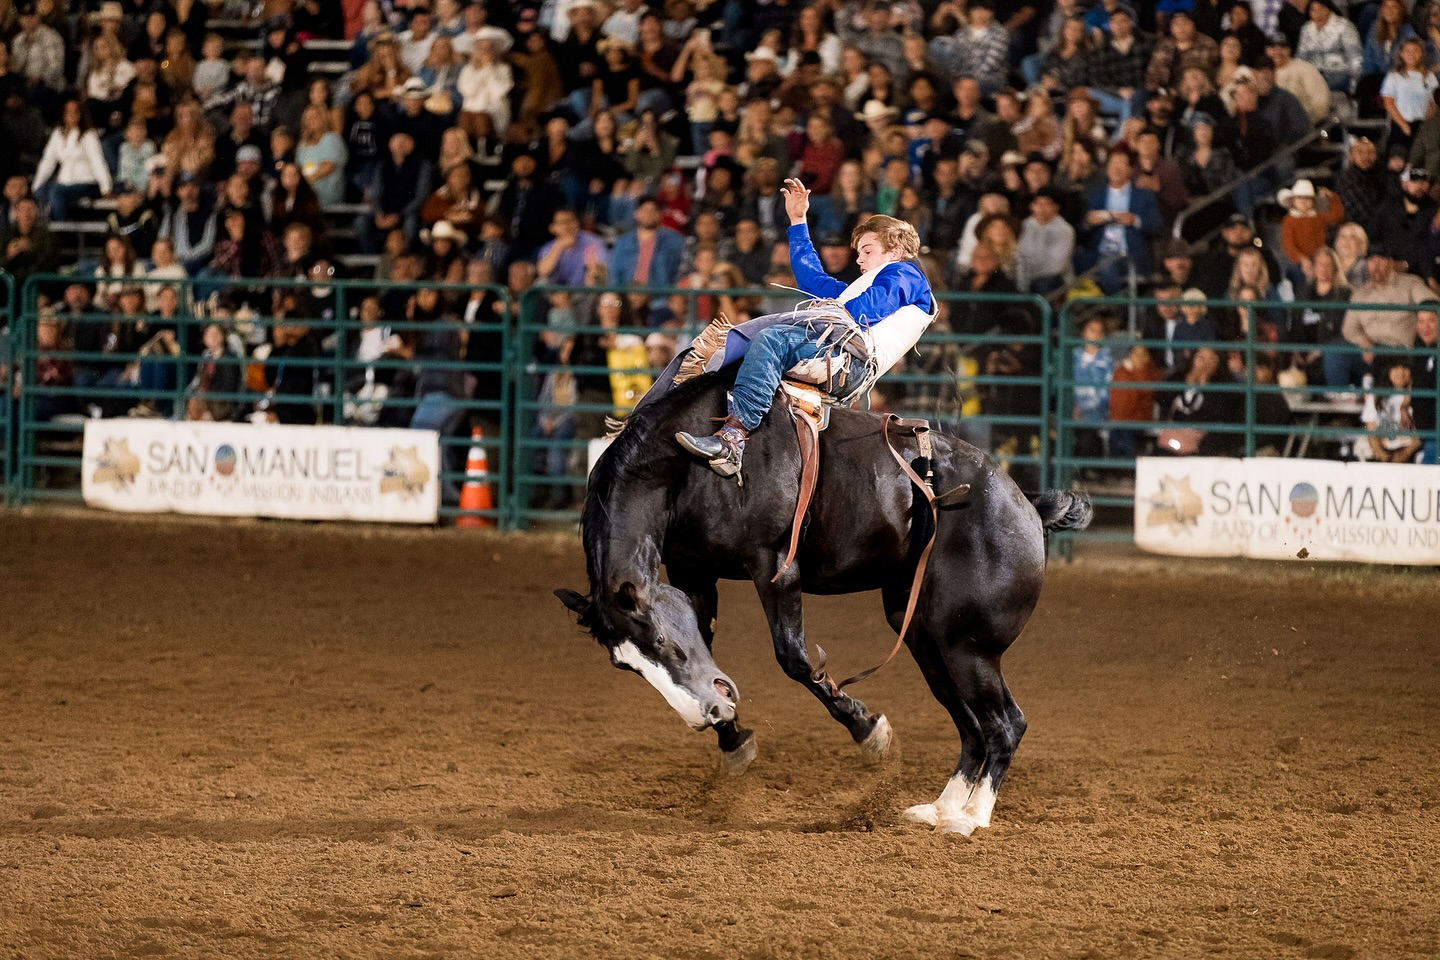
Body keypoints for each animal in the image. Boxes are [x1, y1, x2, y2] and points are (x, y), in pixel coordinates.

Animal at [555, 368, 1082, 834]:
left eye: (660, 641)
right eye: (625, 665)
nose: (706, 717)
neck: (683, 467)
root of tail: (1026, 505)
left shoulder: (775, 566)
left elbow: (794, 658)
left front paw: (869, 732)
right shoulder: (692, 572)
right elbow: (708, 648)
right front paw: (733, 737)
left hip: (968, 647)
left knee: (1005, 723)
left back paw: (970, 819)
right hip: (926, 638)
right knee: (972, 726)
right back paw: (939, 809)